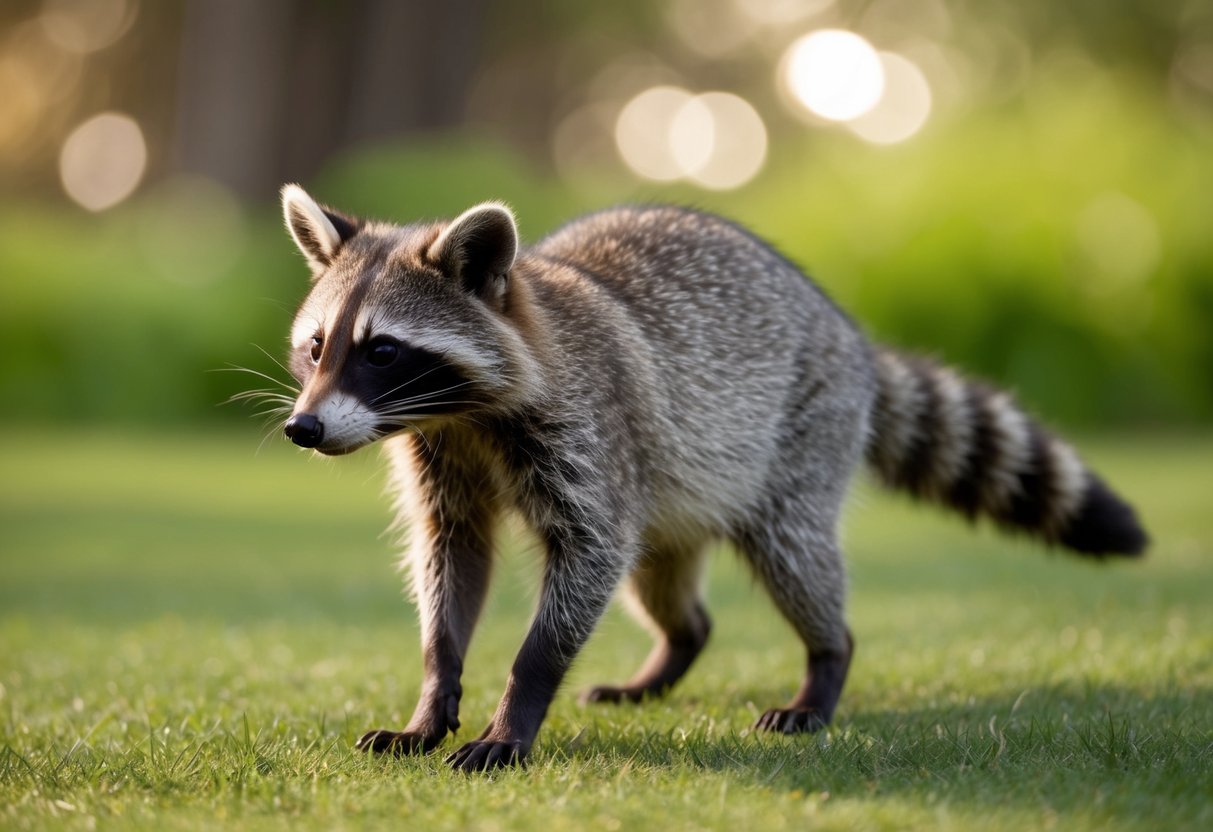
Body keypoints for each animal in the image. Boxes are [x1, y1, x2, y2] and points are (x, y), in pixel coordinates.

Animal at [276, 184, 1147, 772]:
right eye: (317, 347)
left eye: (383, 350)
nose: (302, 429)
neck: (463, 413)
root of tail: (848, 333)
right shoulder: (442, 460)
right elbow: (452, 562)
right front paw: (434, 692)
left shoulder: (588, 436)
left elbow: (585, 562)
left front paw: (515, 708)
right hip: (676, 495)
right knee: (660, 586)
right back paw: (675, 648)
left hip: (802, 432)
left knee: (795, 558)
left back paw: (824, 664)